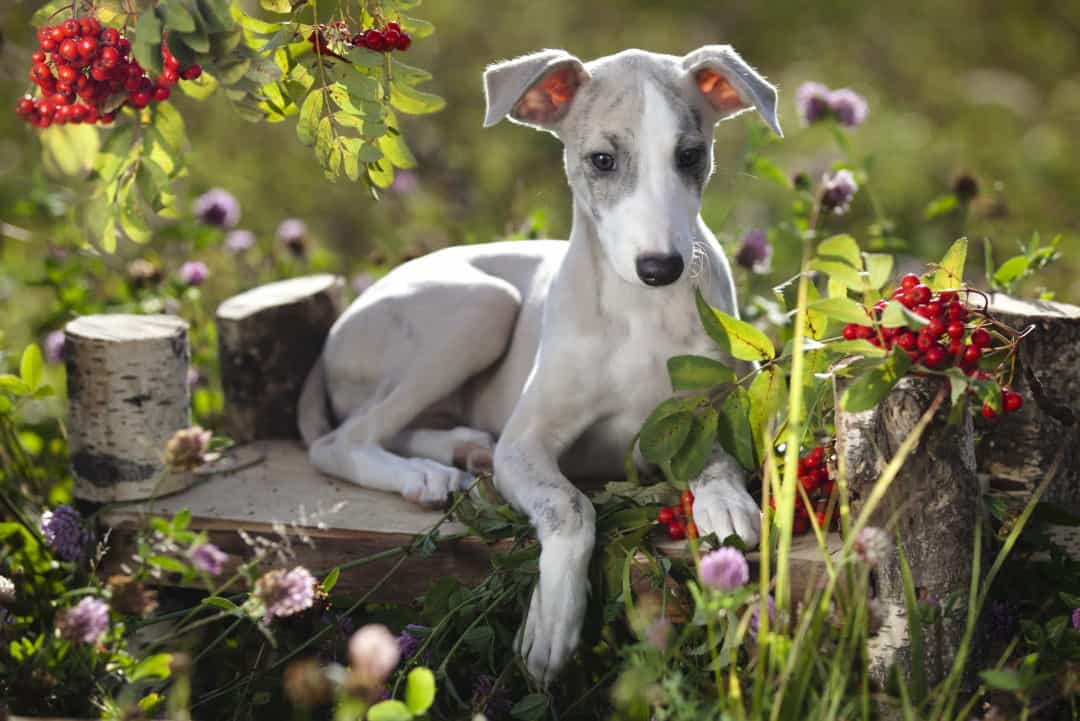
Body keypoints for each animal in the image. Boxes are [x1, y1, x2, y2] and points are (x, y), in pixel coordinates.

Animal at [300, 46, 781, 686]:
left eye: (689, 155)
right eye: (602, 160)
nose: (661, 268)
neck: (638, 312)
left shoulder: (703, 413)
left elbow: (718, 460)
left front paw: (724, 499)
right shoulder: (525, 445)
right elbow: (571, 508)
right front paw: (553, 621)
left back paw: (459, 451)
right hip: (480, 306)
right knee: (342, 440)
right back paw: (421, 474)